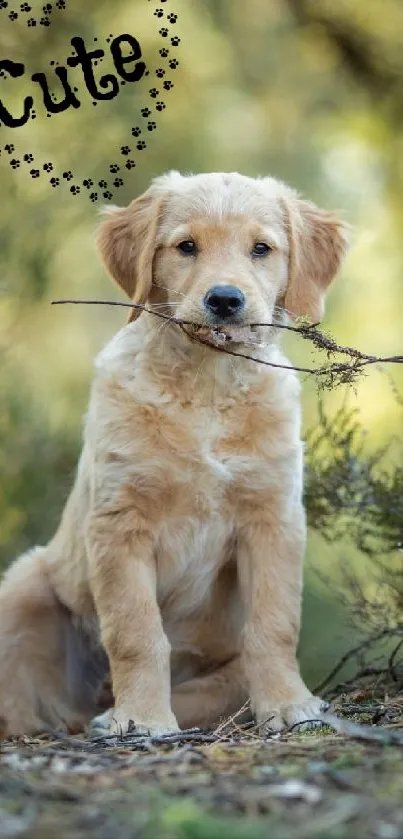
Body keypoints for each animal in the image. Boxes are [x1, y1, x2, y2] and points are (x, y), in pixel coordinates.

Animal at [0, 171, 348, 736]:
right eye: (186, 247)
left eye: (261, 249)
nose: (225, 300)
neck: (207, 384)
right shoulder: (120, 523)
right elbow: (136, 632)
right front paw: (141, 718)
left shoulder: (272, 517)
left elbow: (275, 624)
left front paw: (289, 704)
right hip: (25, 584)